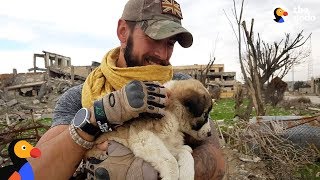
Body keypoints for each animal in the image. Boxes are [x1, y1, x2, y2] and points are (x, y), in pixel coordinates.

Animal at [86, 79, 214, 180]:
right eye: (205, 115)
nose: (210, 133)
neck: (173, 114)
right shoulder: (143, 138)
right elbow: (171, 161)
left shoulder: (166, 144)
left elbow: (184, 154)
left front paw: (186, 173)